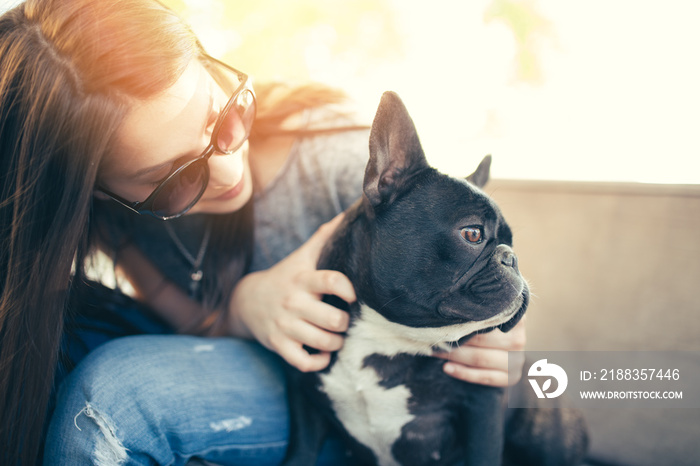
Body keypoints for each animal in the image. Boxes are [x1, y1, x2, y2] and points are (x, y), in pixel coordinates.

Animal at [284, 92, 584, 466]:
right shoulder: (303, 392)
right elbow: (300, 452)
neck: (386, 337)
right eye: (472, 233)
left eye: (512, 243)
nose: (511, 257)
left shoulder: (483, 407)